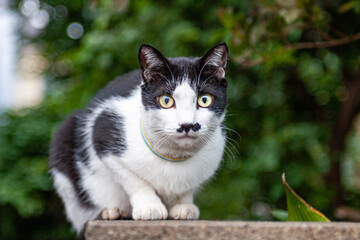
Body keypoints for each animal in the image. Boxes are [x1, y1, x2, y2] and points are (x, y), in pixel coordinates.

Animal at [48, 42, 228, 235]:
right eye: (166, 100)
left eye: (204, 99)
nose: (187, 125)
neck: (173, 155)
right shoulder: (103, 133)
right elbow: (133, 179)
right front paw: (150, 207)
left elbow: (189, 187)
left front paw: (183, 205)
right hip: (63, 139)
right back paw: (112, 211)